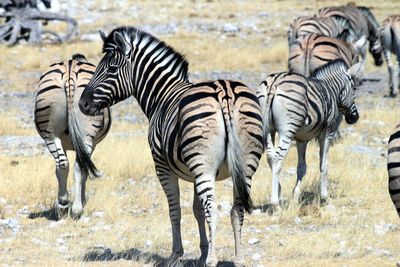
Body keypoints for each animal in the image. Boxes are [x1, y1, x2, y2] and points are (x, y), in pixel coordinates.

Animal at [33, 54, 111, 220]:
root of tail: (70, 69)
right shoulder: (92, 144)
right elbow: (85, 172)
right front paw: (82, 200)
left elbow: (62, 169)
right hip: (87, 136)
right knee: (79, 166)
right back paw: (76, 209)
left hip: (50, 133)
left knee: (62, 164)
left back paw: (63, 202)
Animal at [79, 27, 264, 267]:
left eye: (111, 69)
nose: (82, 104)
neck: (162, 94)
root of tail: (225, 92)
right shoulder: (196, 175)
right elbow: (196, 210)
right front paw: (202, 252)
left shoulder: (163, 167)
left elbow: (174, 210)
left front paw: (177, 255)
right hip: (245, 166)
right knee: (237, 209)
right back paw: (238, 259)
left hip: (204, 166)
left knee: (213, 209)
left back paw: (212, 260)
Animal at [258, 59, 360, 207]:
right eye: (354, 89)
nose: (355, 118)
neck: (331, 90)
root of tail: (274, 83)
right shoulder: (328, 134)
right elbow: (324, 165)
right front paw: (324, 197)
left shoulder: (302, 139)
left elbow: (301, 167)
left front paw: (295, 196)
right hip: (287, 130)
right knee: (277, 158)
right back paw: (275, 202)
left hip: (268, 129)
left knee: (270, 157)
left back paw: (278, 190)